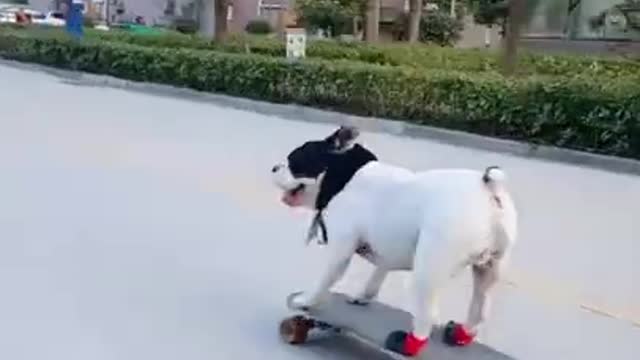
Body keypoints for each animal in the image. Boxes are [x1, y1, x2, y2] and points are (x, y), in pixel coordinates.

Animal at [270, 126, 516, 358]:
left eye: (295, 161)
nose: (274, 167)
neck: (343, 175)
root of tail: (489, 191)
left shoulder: (340, 249)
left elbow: (324, 280)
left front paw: (305, 301)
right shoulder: (386, 249)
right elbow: (378, 274)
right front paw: (362, 297)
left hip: (430, 267)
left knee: (427, 314)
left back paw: (407, 345)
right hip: (492, 266)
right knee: (481, 304)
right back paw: (461, 334)